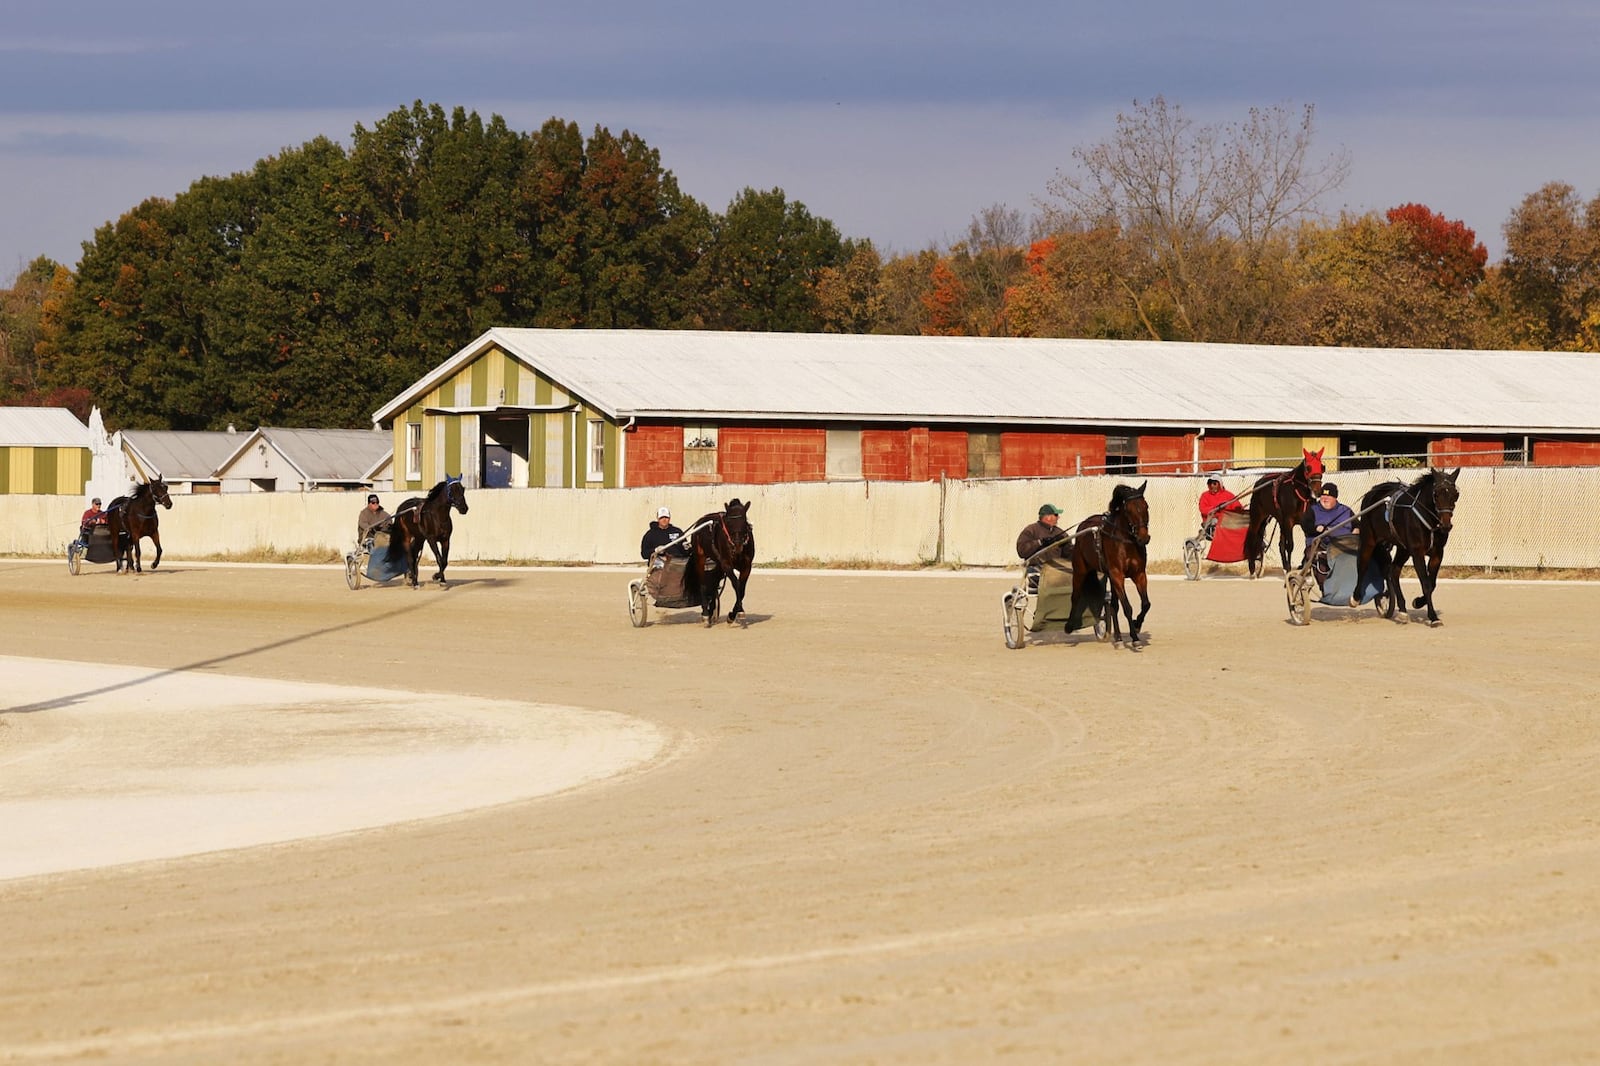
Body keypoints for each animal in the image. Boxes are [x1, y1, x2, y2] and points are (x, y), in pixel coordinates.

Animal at [684, 496, 752, 624]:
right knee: (703, 584)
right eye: (728, 523)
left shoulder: (747, 566)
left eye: (744, 521)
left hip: (717, 564)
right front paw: (737, 612)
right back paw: (706, 613)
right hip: (700, 558)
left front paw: (734, 613)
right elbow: (736, 584)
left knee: (714, 584)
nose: (737, 544)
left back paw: (711, 611)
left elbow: (742, 589)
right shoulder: (726, 564)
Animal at [1075, 483, 1152, 646]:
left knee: (1114, 605)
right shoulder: (1117, 575)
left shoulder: (1139, 574)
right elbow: (1127, 607)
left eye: (1146, 506)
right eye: (1128, 510)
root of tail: (1085, 523)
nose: (1144, 538)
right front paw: (1134, 637)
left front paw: (1137, 624)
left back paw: (1118, 636)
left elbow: (1146, 604)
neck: (1126, 542)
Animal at [1241, 448, 1331, 582]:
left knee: (1280, 544)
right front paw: (1290, 570)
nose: (1317, 491)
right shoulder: (1289, 521)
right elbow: (1290, 546)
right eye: (1308, 467)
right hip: (1258, 516)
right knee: (1253, 537)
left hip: (1279, 520)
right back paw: (1253, 570)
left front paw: (1306, 569)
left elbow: (1308, 545)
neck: (1298, 493)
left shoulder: (1305, 522)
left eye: (1322, 466)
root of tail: (1259, 483)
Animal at [1356, 464, 1459, 624]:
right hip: (1369, 539)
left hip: (1403, 548)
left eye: (1455, 495)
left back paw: (1403, 611)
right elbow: (1426, 583)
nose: (1446, 525)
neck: (1429, 520)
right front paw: (1433, 617)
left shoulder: (1437, 553)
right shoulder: (1417, 552)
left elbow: (1432, 583)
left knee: (1393, 571)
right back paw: (1355, 597)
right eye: (1436, 494)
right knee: (1363, 565)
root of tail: (1373, 491)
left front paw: (1418, 602)